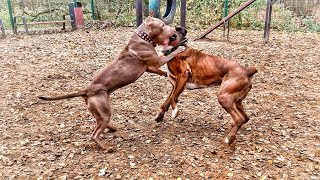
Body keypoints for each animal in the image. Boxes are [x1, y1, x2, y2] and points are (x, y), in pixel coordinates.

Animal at [39, 17, 185, 151]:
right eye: (163, 25)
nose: (174, 29)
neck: (143, 37)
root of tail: (87, 90)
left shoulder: (148, 67)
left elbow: (157, 70)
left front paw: (165, 73)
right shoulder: (157, 61)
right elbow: (168, 56)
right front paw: (180, 49)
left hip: (99, 110)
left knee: (97, 122)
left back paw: (112, 128)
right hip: (103, 110)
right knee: (94, 134)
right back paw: (106, 147)